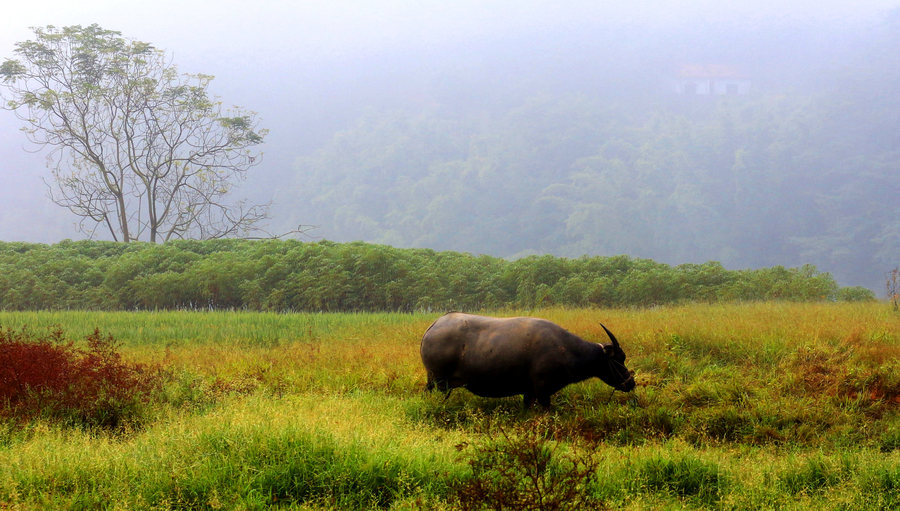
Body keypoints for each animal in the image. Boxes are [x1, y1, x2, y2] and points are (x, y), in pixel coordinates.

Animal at [420, 312, 636, 408]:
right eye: (620, 359)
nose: (631, 382)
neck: (566, 348)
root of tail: (434, 325)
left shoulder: (529, 392)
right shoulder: (542, 390)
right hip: (439, 381)